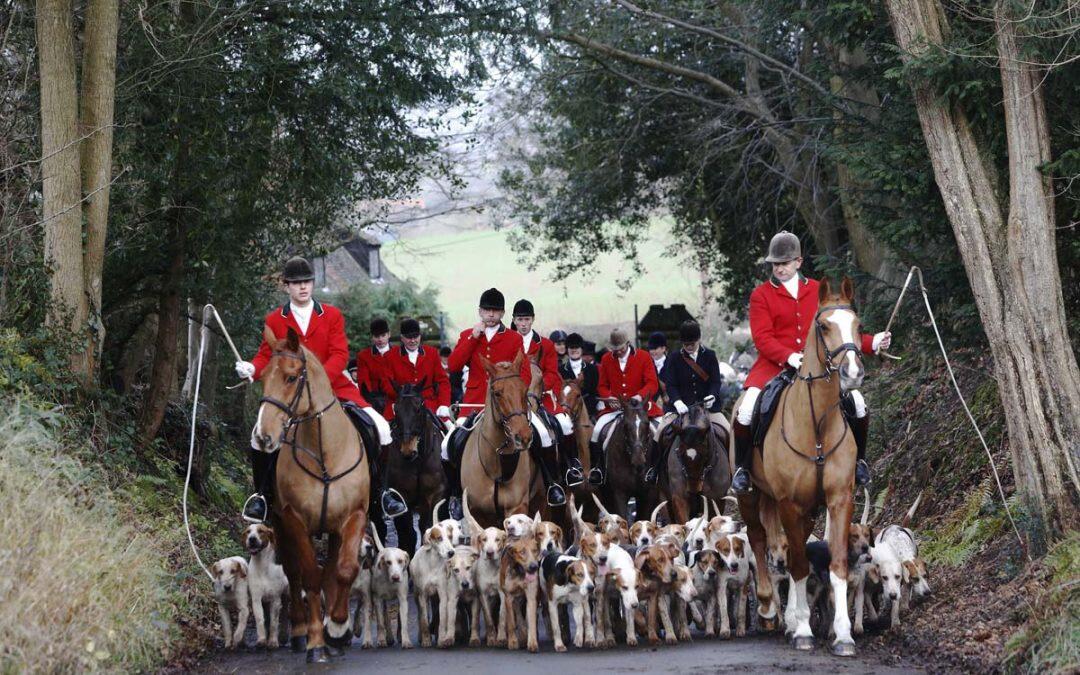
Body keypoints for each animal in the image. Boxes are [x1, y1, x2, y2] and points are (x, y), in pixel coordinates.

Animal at [251, 326, 367, 665]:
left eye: (291, 377)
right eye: (262, 376)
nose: (263, 437)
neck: (325, 452)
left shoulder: (354, 516)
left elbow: (343, 571)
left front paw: (337, 628)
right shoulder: (295, 520)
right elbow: (310, 577)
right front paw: (317, 641)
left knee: (331, 571)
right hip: (278, 522)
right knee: (293, 573)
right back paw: (301, 631)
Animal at [375, 380, 447, 552]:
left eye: (419, 408)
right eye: (396, 409)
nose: (407, 449)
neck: (418, 462)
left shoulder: (434, 495)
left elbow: (428, 528)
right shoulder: (402, 498)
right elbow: (408, 535)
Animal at [730, 276, 864, 656]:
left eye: (858, 324)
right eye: (824, 326)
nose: (852, 373)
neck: (817, 424)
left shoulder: (838, 499)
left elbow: (835, 564)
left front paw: (842, 635)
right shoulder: (789, 502)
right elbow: (800, 565)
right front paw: (804, 629)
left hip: (804, 510)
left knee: (791, 549)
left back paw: (789, 619)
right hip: (751, 495)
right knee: (759, 537)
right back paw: (768, 607)